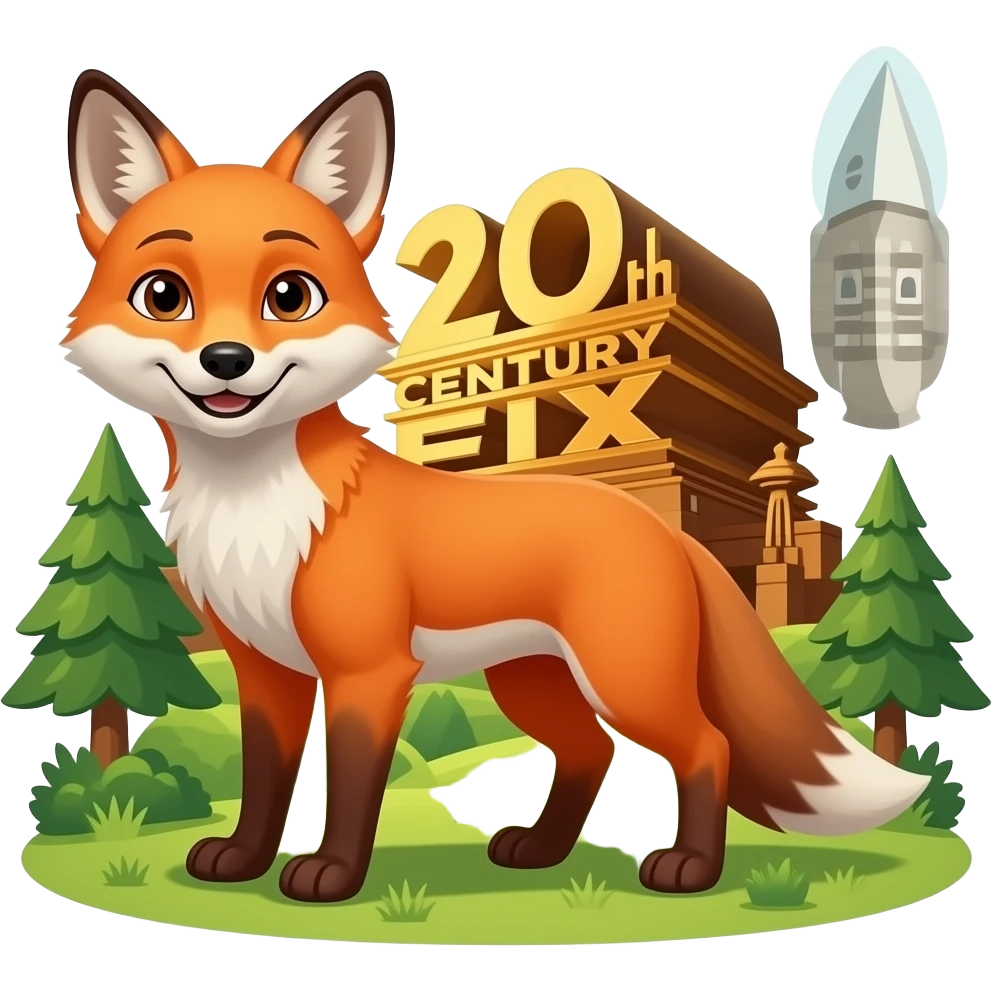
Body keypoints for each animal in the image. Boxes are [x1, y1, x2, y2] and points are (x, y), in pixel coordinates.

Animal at [62, 68, 930, 904]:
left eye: (291, 296)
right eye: (164, 295)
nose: (227, 361)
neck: (257, 507)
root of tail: (666, 528)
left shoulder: (369, 671)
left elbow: (350, 784)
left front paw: (330, 877)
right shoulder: (267, 670)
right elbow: (265, 780)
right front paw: (242, 861)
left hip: (623, 676)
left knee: (704, 745)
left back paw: (688, 869)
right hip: (531, 681)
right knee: (590, 750)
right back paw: (541, 852)